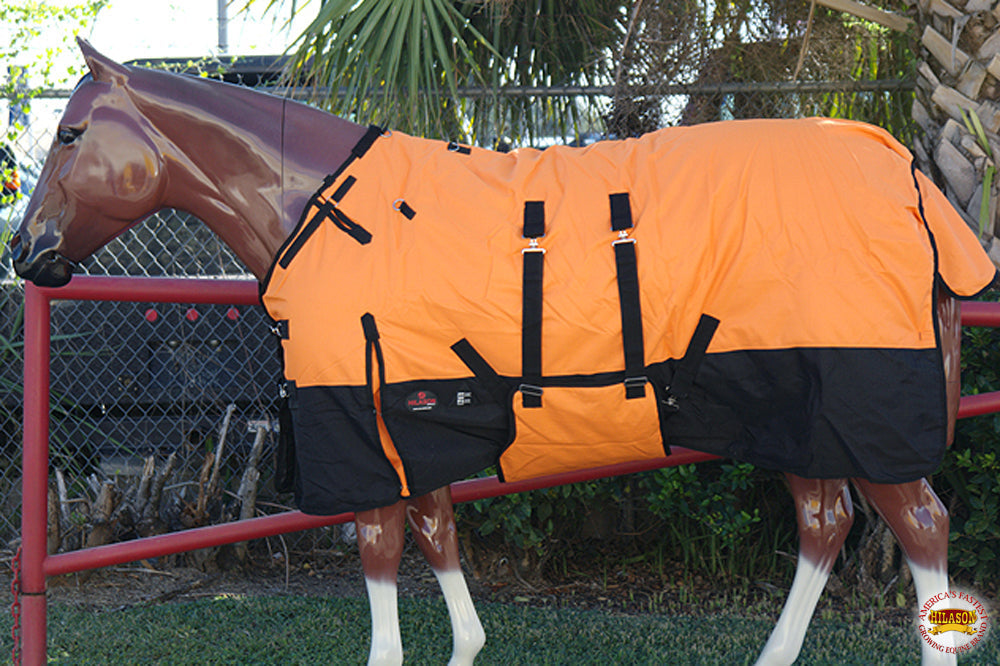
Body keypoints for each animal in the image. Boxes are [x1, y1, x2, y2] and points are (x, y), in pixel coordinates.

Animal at [11, 39, 993, 666]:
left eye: (69, 133)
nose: (26, 253)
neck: (321, 206)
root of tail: (904, 171)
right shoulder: (412, 416)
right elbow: (436, 533)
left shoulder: (360, 422)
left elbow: (381, 547)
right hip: (797, 413)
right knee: (826, 524)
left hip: (858, 402)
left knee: (921, 526)